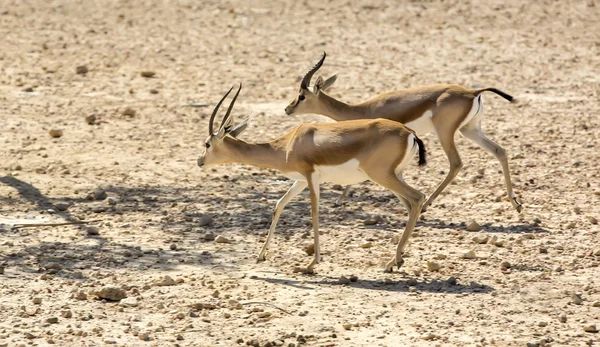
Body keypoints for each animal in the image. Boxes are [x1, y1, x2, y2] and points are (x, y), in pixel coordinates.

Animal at [199, 84, 428, 274]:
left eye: (207, 144)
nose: (200, 161)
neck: (287, 145)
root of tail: (409, 132)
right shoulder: (299, 181)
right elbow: (279, 205)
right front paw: (261, 255)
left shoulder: (310, 177)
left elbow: (314, 213)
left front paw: (311, 264)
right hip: (393, 176)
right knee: (411, 205)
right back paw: (396, 261)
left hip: (382, 176)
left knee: (418, 198)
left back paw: (393, 261)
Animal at [286, 52, 520, 213]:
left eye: (302, 96)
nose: (287, 109)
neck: (362, 109)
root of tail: (472, 91)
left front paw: (339, 199)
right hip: (469, 129)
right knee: (499, 151)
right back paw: (515, 202)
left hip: (445, 132)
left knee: (456, 163)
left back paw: (426, 204)